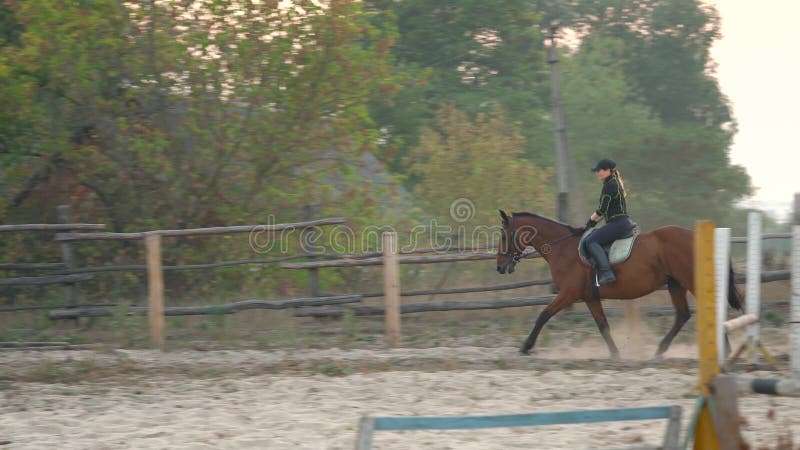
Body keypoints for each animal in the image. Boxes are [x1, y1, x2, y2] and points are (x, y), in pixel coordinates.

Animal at [494, 211, 744, 358]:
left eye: (504, 236)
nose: (500, 267)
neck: (562, 248)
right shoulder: (590, 297)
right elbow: (603, 325)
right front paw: (615, 354)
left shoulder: (568, 294)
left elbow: (543, 315)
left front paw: (526, 346)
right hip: (675, 284)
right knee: (682, 314)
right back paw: (660, 350)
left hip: (689, 280)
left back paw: (723, 351)